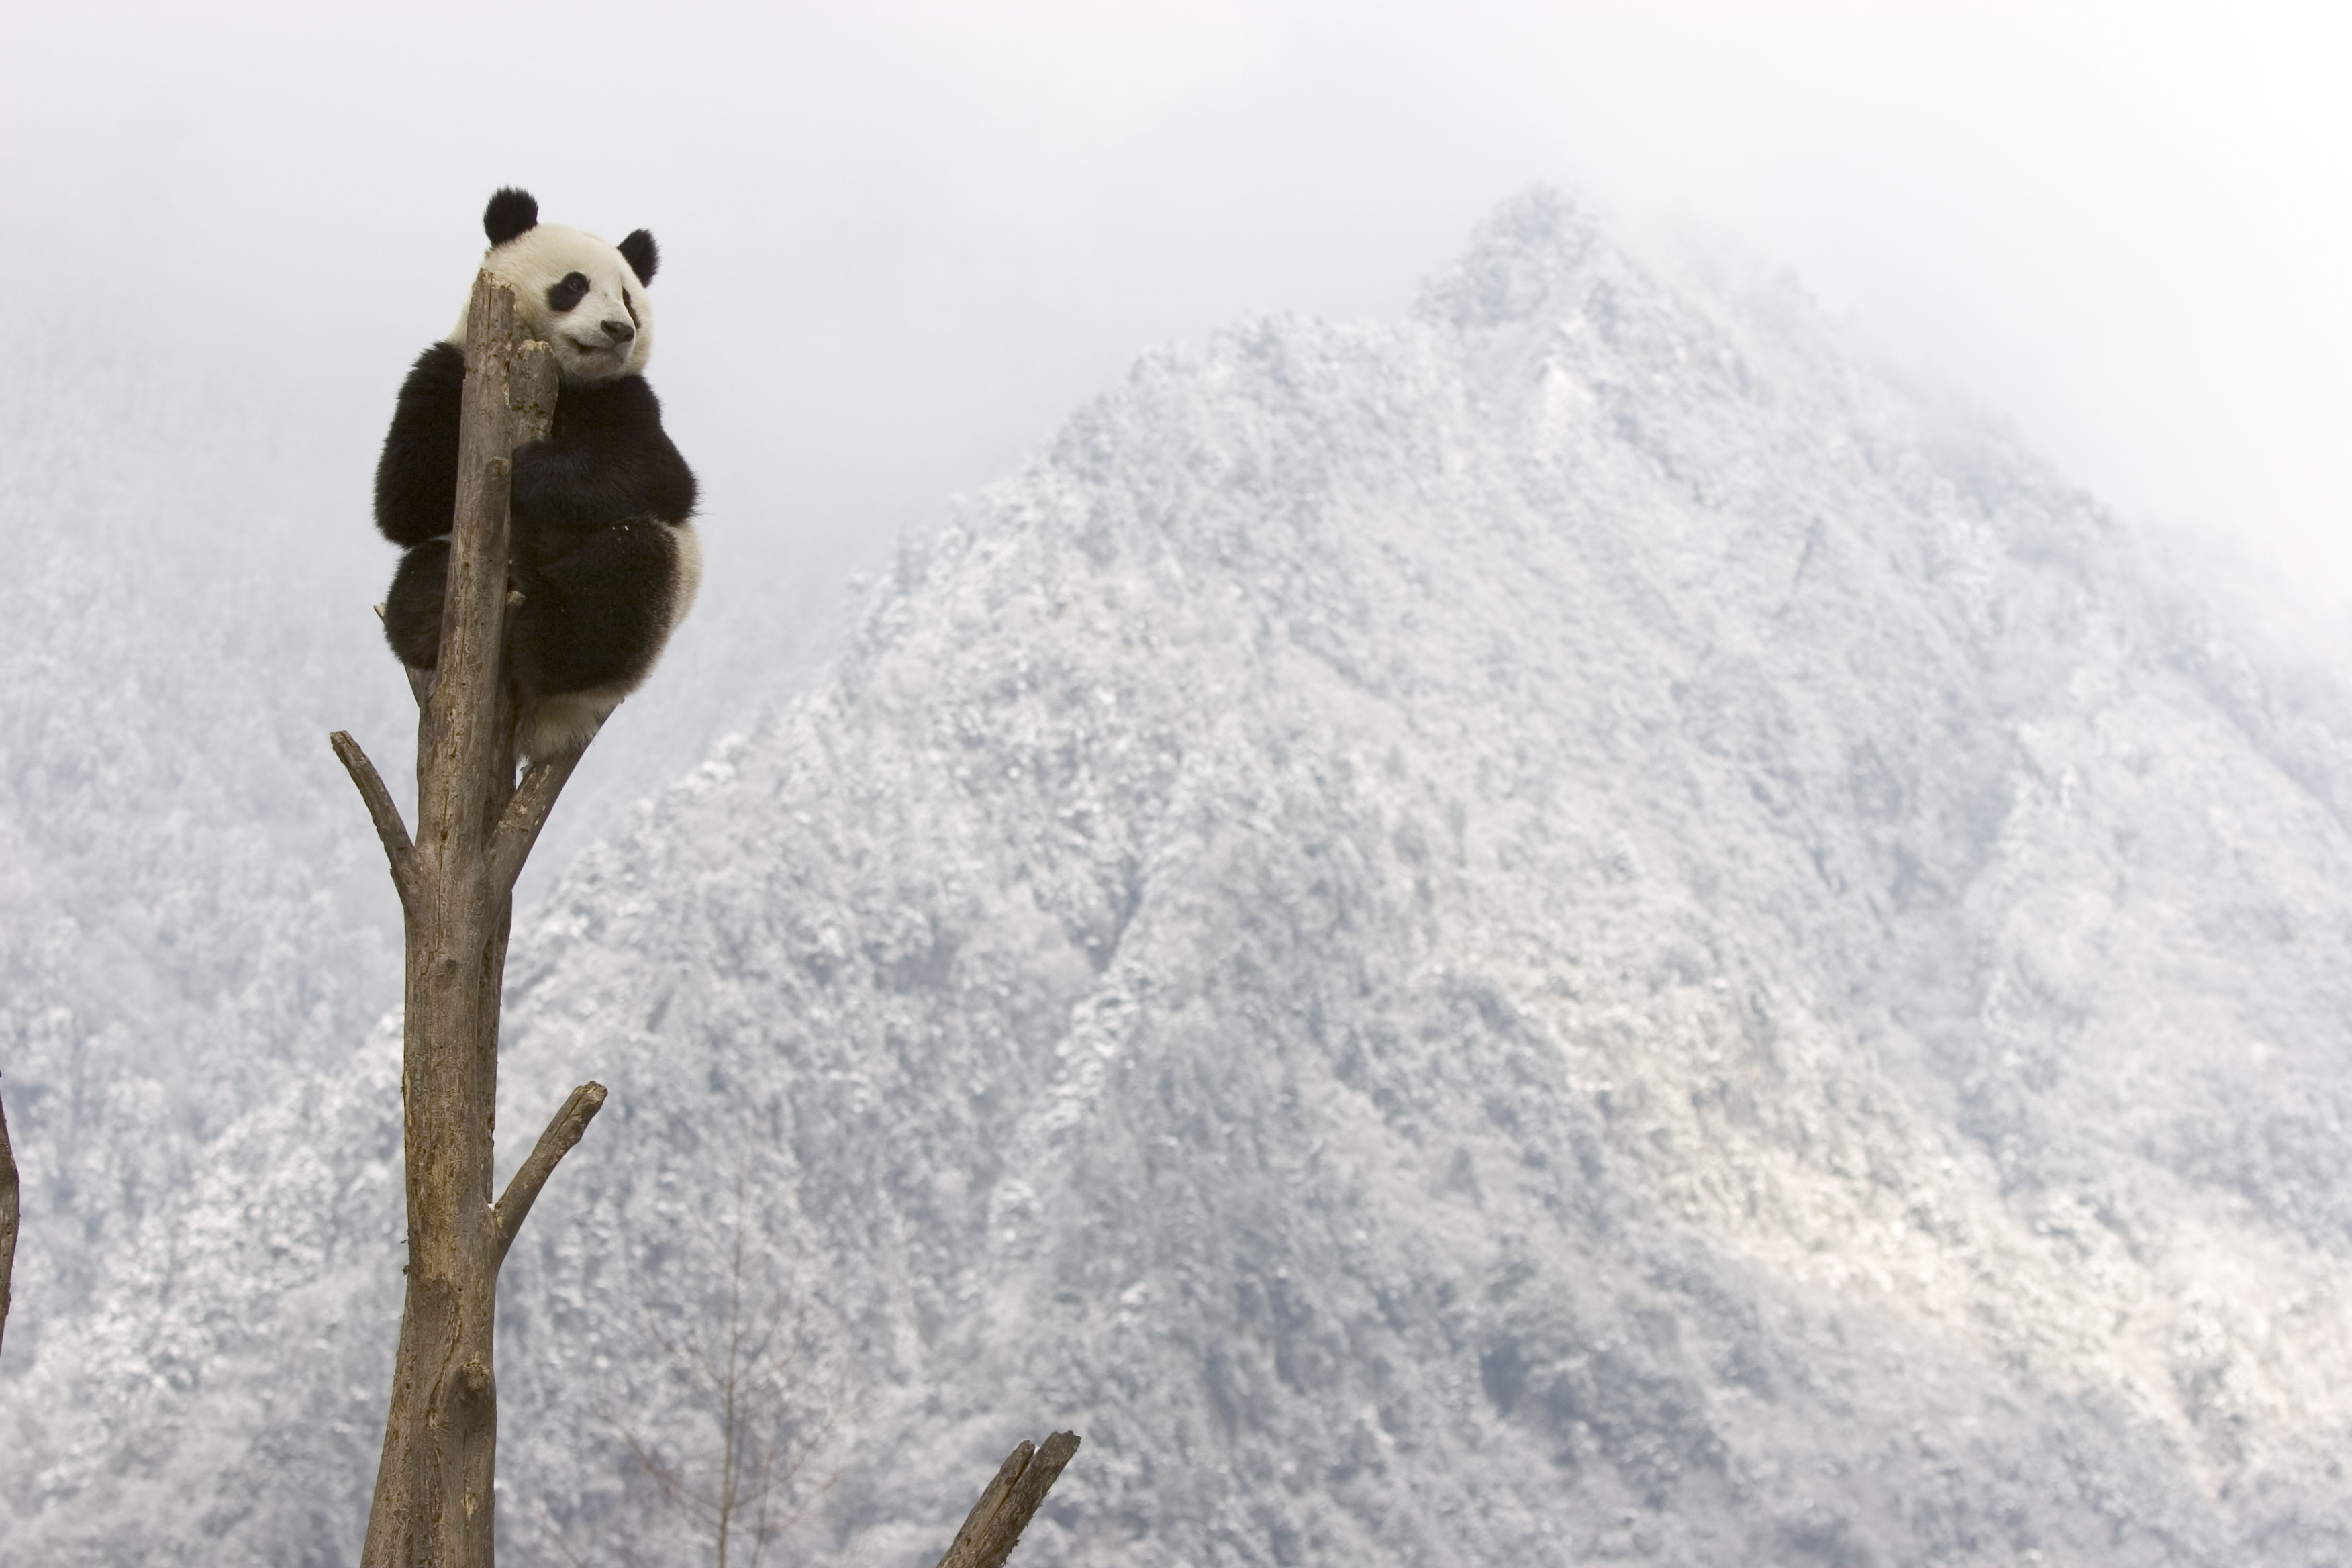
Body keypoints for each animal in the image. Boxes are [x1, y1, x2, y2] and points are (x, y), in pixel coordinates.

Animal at [376, 187, 701, 763]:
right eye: (574, 285)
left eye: (628, 298)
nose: (619, 330)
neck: (562, 377)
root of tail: (544, 728)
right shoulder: (445, 368)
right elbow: (404, 502)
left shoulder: (626, 399)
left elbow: (660, 477)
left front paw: (530, 469)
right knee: (420, 573)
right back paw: (433, 612)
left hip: (654, 609)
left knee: (623, 577)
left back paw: (538, 641)